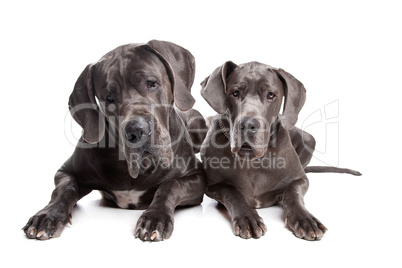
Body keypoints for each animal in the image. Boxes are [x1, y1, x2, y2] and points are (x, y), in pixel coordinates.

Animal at [23, 40, 206, 243]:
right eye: (108, 98)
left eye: (151, 83)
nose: (137, 131)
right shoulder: (66, 171)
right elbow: (65, 189)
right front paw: (47, 215)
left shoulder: (196, 176)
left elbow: (170, 185)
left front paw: (154, 217)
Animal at [201, 60, 362, 241]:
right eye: (235, 93)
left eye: (271, 95)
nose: (248, 124)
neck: (254, 160)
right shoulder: (213, 186)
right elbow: (232, 192)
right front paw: (248, 218)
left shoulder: (300, 179)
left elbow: (293, 194)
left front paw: (306, 219)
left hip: (309, 139)